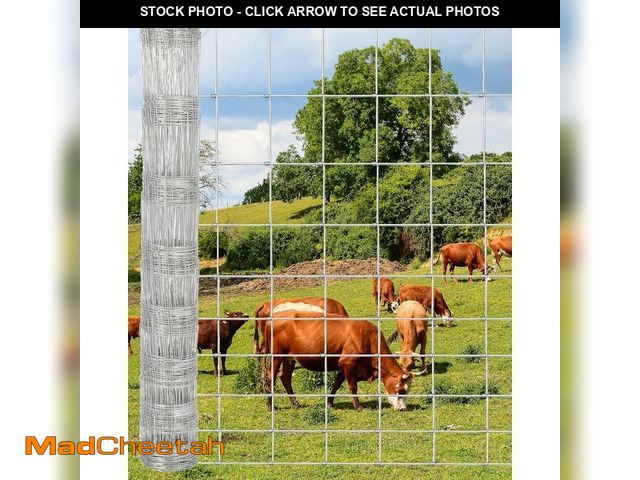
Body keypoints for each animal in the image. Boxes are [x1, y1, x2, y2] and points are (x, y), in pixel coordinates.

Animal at [263, 310, 424, 411]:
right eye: (401, 391)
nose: (403, 409)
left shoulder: (342, 366)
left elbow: (336, 384)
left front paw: (329, 403)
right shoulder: (348, 363)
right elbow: (352, 387)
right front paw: (358, 407)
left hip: (289, 359)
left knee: (285, 378)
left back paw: (296, 404)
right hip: (276, 356)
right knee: (270, 378)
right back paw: (271, 406)